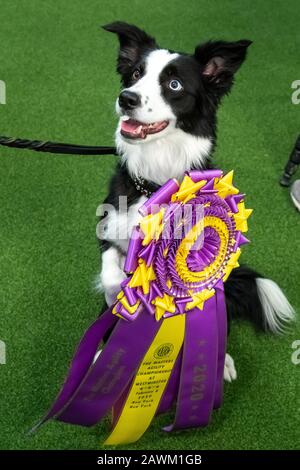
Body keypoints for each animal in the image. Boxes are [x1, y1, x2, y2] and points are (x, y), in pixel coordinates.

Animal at [97, 23, 294, 382]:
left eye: (174, 84)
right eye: (135, 74)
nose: (126, 98)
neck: (156, 181)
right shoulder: (109, 225)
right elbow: (111, 275)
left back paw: (223, 361)